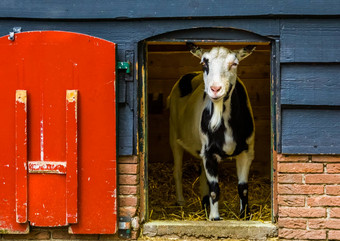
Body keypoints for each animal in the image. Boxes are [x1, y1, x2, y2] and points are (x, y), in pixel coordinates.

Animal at [167, 43, 255, 220]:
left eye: (234, 64)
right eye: (204, 63)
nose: (215, 89)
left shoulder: (246, 151)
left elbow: (243, 189)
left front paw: (244, 217)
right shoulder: (209, 152)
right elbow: (215, 189)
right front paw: (214, 218)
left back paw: (204, 203)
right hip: (174, 135)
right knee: (177, 171)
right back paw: (181, 201)